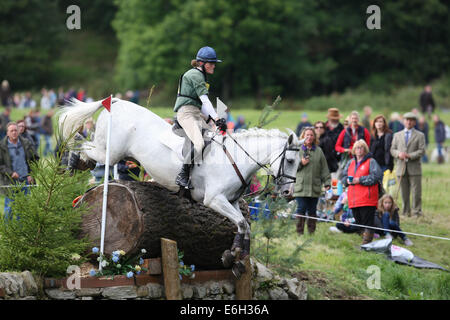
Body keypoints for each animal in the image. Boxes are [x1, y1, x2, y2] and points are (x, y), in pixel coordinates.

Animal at [57, 99, 302, 276]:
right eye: (290, 161)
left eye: (300, 164)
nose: (288, 194)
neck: (236, 158)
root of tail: (116, 101)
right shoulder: (214, 200)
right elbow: (242, 223)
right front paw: (233, 257)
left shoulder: (230, 202)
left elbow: (245, 226)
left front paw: (235, 258)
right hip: (108, 150)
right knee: (83, 145)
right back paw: (68, 164)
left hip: (110, 151)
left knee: (88, 157)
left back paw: (71, 167)